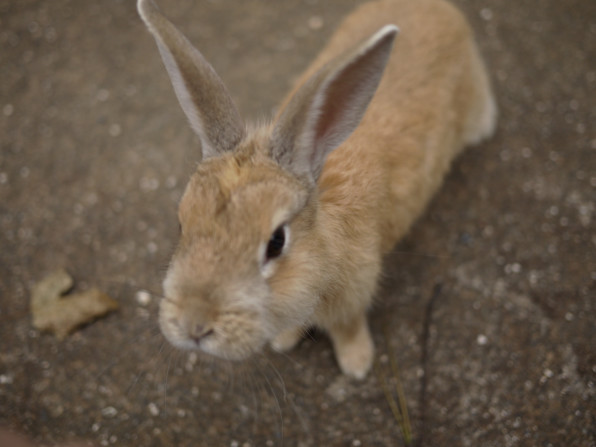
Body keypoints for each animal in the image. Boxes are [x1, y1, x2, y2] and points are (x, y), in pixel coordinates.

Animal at [137, 0, 496, 382]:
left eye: (276, 242)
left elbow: (348, 328)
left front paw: (357, 364)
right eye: (182, 224)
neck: (324, 246)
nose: (194, 325)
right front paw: (283, 341)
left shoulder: (355, 295)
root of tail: (436, 6)